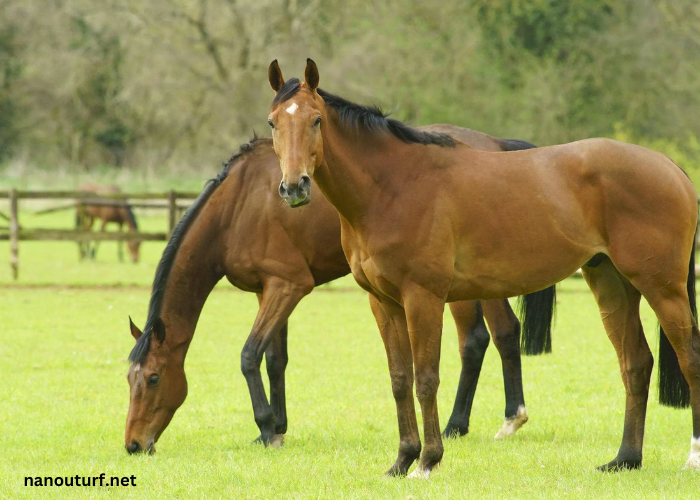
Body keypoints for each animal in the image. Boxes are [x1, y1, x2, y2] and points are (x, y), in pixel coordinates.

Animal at [124, 132, 552, 454]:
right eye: (129, 379)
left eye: (154, 379)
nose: (133, 444)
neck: (238, 207)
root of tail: (495, 143)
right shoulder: (269, 291)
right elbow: (274, 360)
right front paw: (277, 426)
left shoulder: (288, 286)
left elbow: (249, 356)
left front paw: (266, 428)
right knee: (492, 336)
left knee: (486, 337)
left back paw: (476, 421)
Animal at [268, 59, 700, 476]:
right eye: (273, 122)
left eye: (316, 120)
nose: (294, 187)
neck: (392, 186)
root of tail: (670, 166)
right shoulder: (383, 303)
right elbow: (400, 380)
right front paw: (402, 460)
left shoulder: (423, 298)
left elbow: (426, 379)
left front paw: (427, 461)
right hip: (612, 283)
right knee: (636, 363)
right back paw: (625, 459)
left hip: (662, 287)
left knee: (689, 356)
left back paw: (692, 457)